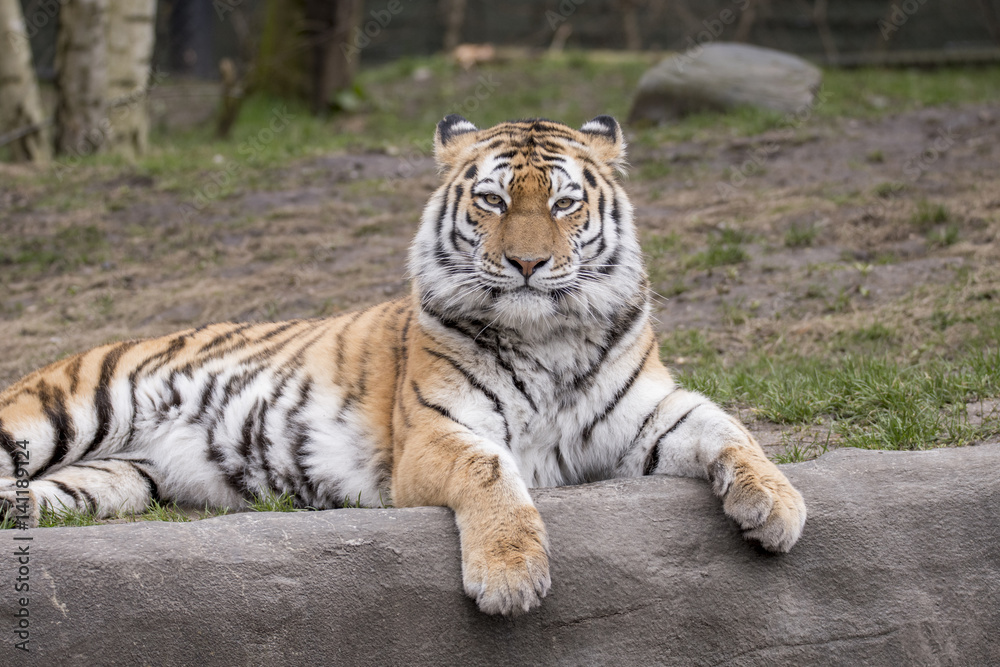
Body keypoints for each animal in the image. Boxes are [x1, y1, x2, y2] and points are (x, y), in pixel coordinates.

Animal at [0, 114, 806, 616]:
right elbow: (491, 470)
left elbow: (730, 428)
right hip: (58, 411)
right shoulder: (433, 434)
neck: (548, 334)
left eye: (566, 204)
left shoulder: (646, 415)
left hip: (110, 481)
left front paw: (777, 506)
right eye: (492, 200)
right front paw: (510, 576)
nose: (528, 263)